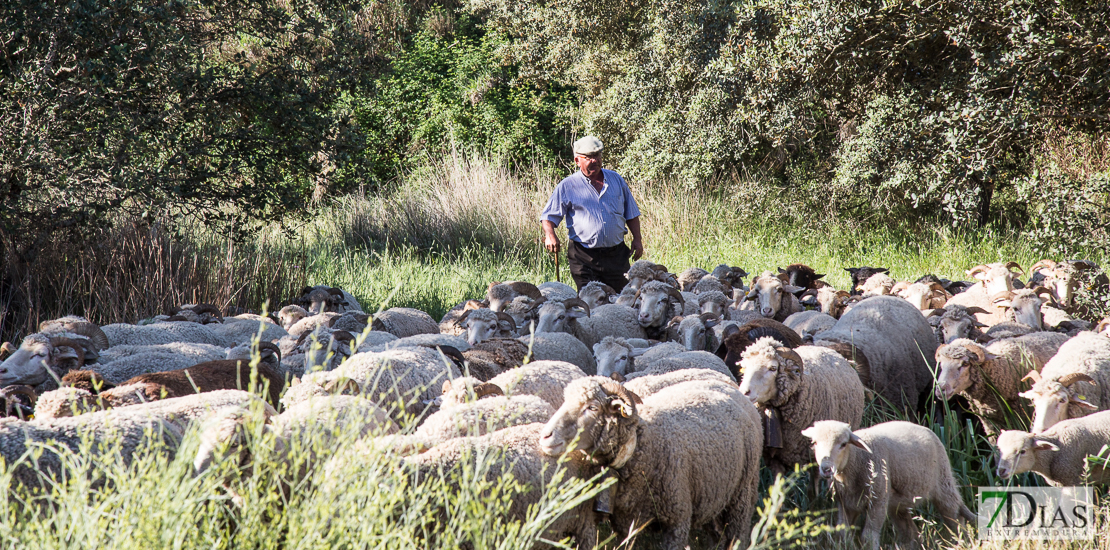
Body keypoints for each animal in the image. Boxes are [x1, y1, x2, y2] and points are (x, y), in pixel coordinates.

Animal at [537, 377, 763, 550]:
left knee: (737, 535)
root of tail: (736, 391)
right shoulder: (625, 525)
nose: (546, 436)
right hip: (712, 494)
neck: (643, 444)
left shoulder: (677, 520)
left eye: (592, 407)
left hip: (743, 493)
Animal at [803, 422, 976, 550]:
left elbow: (868, 537)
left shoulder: (878, 500)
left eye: (843, 444)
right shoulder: (845, 504)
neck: (856, 460)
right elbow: (843, 535)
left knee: (955, 518)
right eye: (815, 443)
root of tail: (925, 428)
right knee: (910, 532)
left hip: (943, 484)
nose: (826, 469)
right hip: (899, 502)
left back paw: (964, 542)